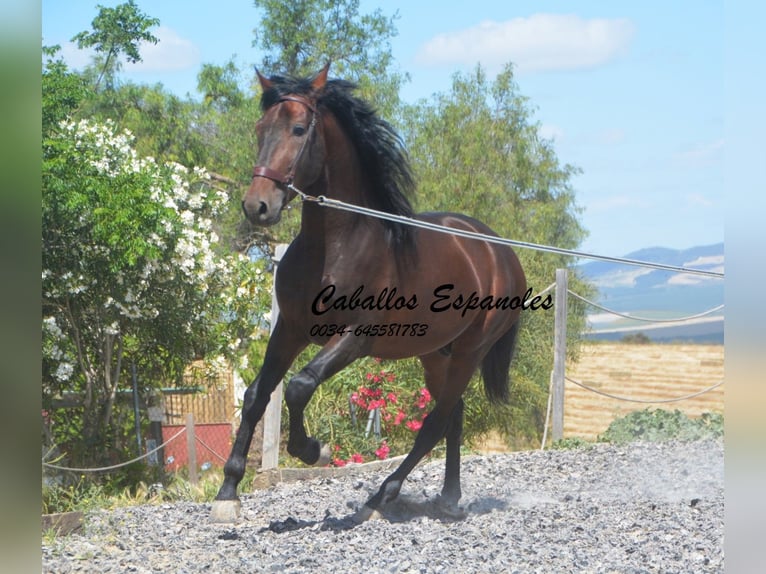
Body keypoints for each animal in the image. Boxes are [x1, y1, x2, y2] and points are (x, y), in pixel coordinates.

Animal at [213, 64, 532, 528]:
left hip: (471, 350)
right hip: (435, 353)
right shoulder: (289, 331)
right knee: (452, 416)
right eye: (260, 129)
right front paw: (228, 492)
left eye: (298, 129)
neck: (335, 245)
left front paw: (314, 450)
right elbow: (257, 396)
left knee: (435, 422)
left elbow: (299, 386)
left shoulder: (354, 338)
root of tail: (500, 251)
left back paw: (382, 496)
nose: (258, 206)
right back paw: (447, 498)